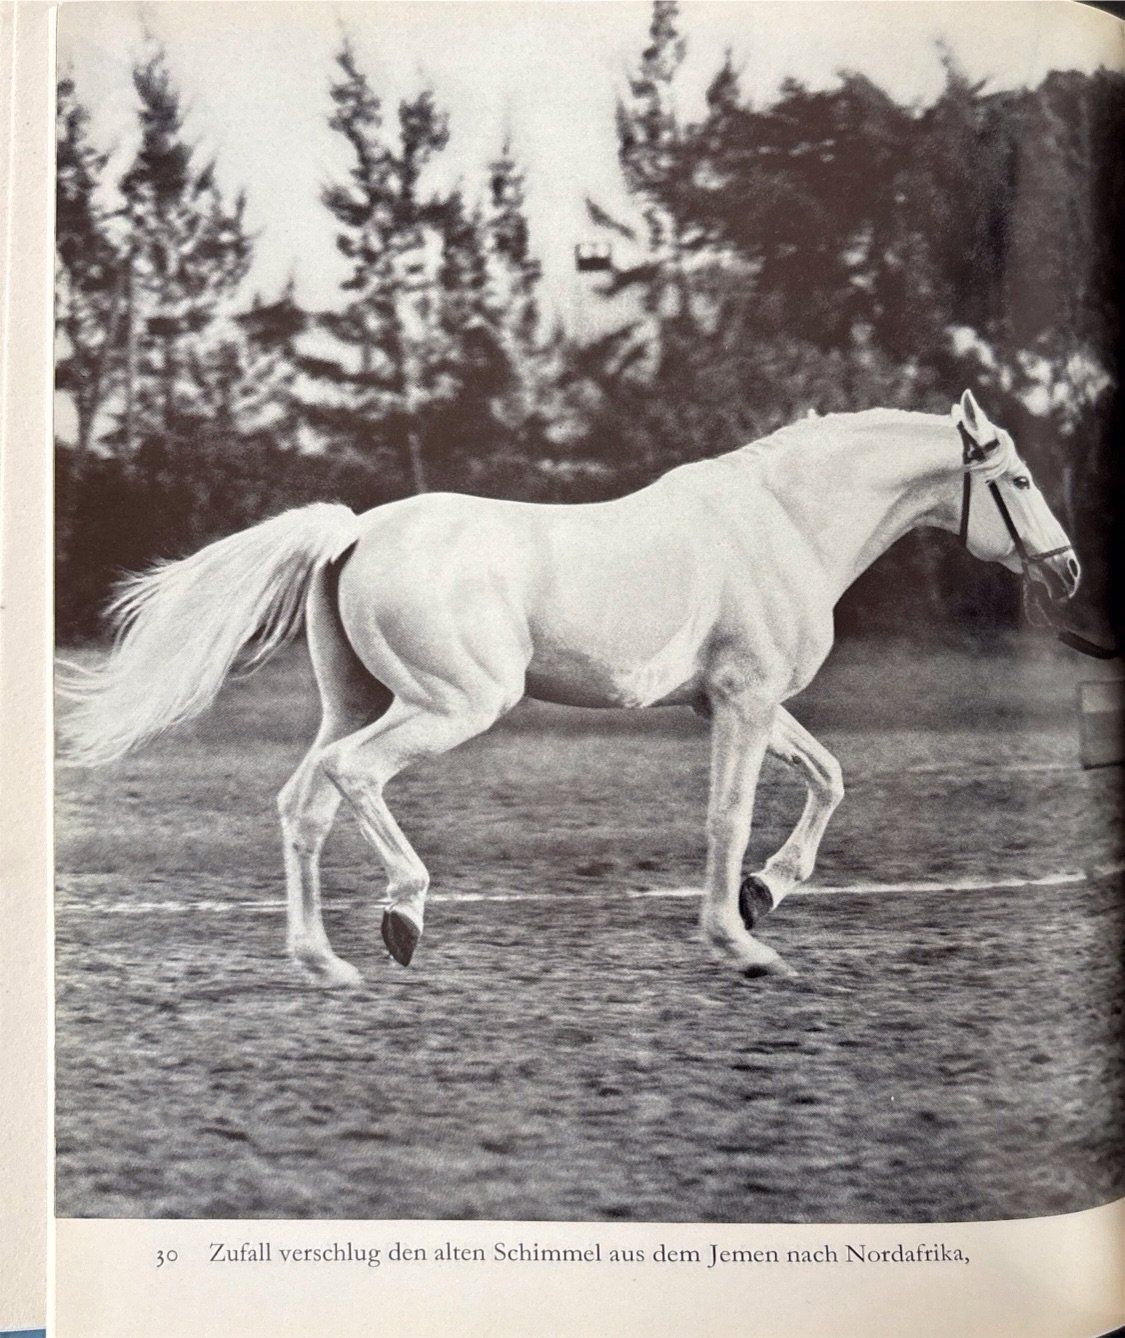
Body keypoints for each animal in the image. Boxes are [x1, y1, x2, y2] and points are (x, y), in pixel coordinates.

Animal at [59, 390, 1080, 985]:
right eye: (1023, 480)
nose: (1066, 571)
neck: (783, 523)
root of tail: (354, 530)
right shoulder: (743, 703)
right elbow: (729, 816)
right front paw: (739, 940)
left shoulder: (735, 703)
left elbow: (827, 780)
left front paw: (764, 893)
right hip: (450, 706)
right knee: (354, 776)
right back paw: (402, 914)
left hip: (358, 701)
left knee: (302, 801)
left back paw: (324, 964)